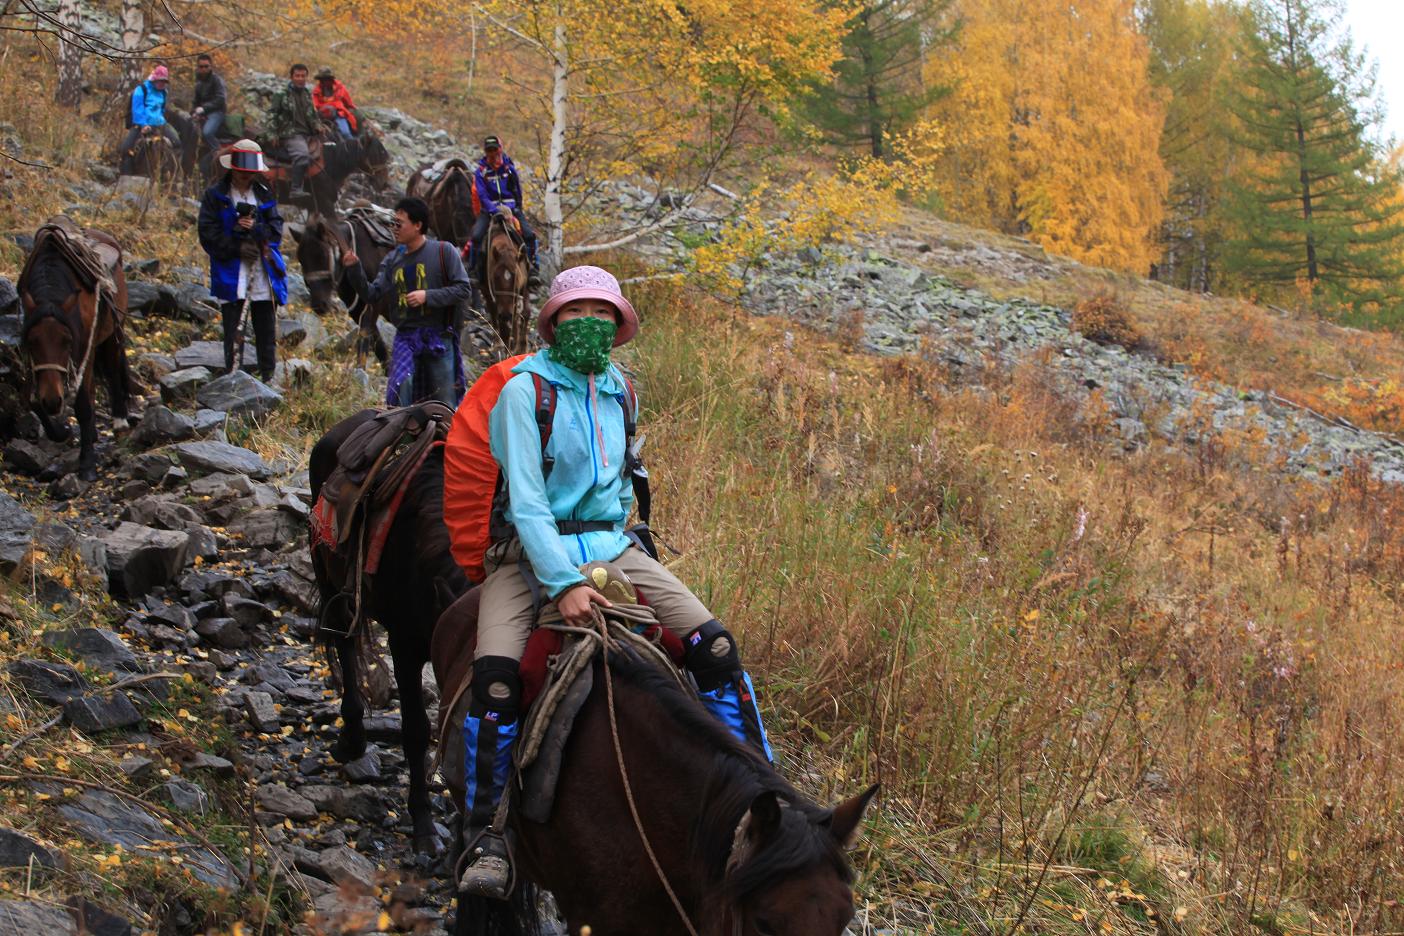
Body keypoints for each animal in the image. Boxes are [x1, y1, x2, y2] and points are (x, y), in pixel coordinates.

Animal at [19, 223, 134, 479]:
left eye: (67, 341)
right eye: (32, 342)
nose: (53, 401)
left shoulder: (85, 350)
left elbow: (82, 404)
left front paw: (87, 464)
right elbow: (32, 401)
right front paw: (62, 432)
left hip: (112, 334)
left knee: (112, 371)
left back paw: (119, 420)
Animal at [308, 412, 466, 858]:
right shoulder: (405, 646)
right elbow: (415, 731)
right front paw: (425, 827)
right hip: (329, 577)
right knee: (343, 643)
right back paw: (353, 739)